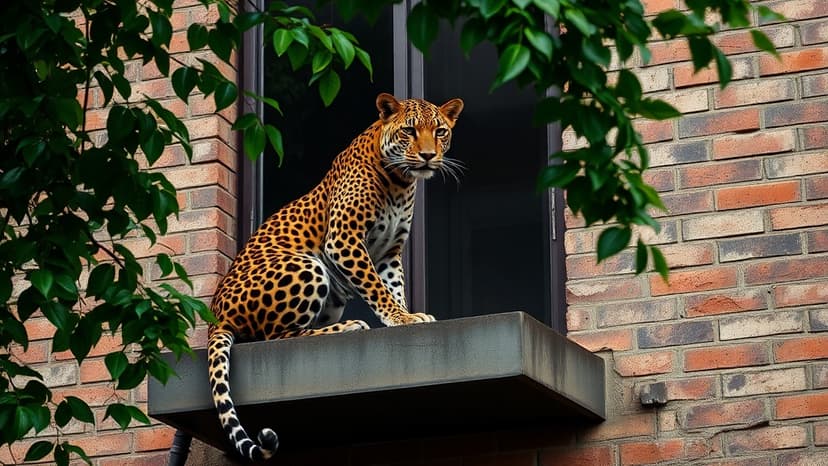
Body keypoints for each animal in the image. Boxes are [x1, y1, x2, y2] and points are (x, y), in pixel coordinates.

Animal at [207, 93, 464, 461]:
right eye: (410, 131)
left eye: (440, 131)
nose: (429, 155)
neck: (401, 183)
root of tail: (216, 317)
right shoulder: (344, 239)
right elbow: (376, 288)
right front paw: (402, 318)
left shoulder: (389, 252)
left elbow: (393, 287)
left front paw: (405, 315)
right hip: (307, 266)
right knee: (273, 338)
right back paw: (348, 327)